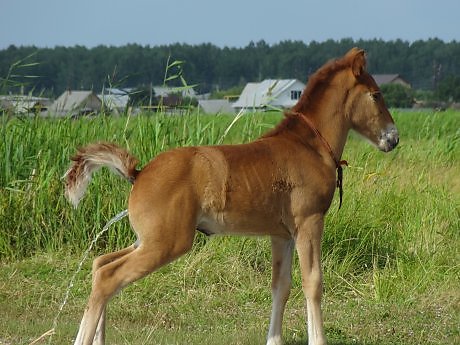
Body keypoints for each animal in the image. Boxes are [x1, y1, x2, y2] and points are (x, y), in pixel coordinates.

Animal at [65, 47, 398, 344]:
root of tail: (140, 173)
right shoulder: (309, 222)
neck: (310, 146)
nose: (393, 138)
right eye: (376, 95)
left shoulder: (282, 235)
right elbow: (312, 282)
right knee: (108, 278)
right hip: (167, 242)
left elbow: (281, 286)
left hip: (146, 239)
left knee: (100, 264)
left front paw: (274, 340)